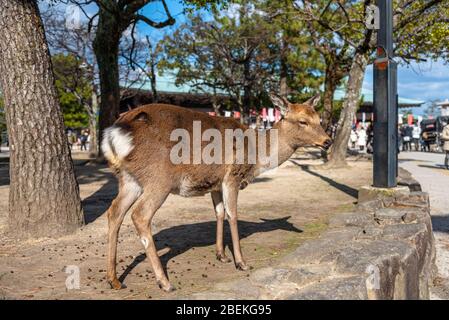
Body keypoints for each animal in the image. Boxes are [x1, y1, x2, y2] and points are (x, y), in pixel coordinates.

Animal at [101, 93, 332, 292]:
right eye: (303, 121)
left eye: (319, 118)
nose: (327, 141)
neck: (257, 158)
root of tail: (114, 132)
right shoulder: (232, 176)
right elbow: (233, 214)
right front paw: (241, 262)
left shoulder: (215, 183)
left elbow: (219, 212)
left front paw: (221, 255)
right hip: (159, 179)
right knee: (140, 215)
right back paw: (165, 282)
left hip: (128, 179)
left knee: (114, 211)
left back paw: (114, 280)